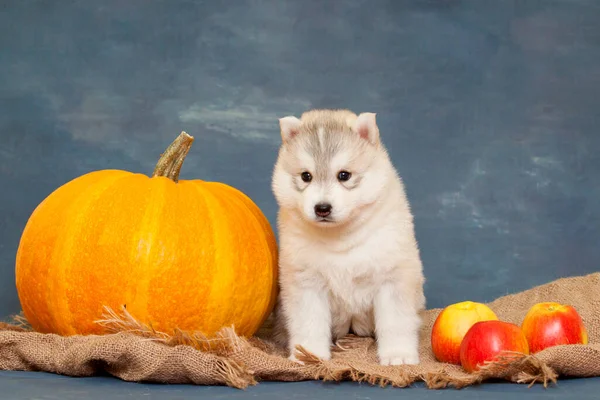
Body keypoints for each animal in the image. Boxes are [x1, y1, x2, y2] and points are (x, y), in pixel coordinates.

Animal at [270, 108, 424, 364]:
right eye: (306, 176)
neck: (340, 237)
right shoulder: (306, 282)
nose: (322, 208)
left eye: (344, 175)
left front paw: (398, 355)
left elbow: (395, 323)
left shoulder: (392, 277)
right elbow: (309, 323)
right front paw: (309, 354)